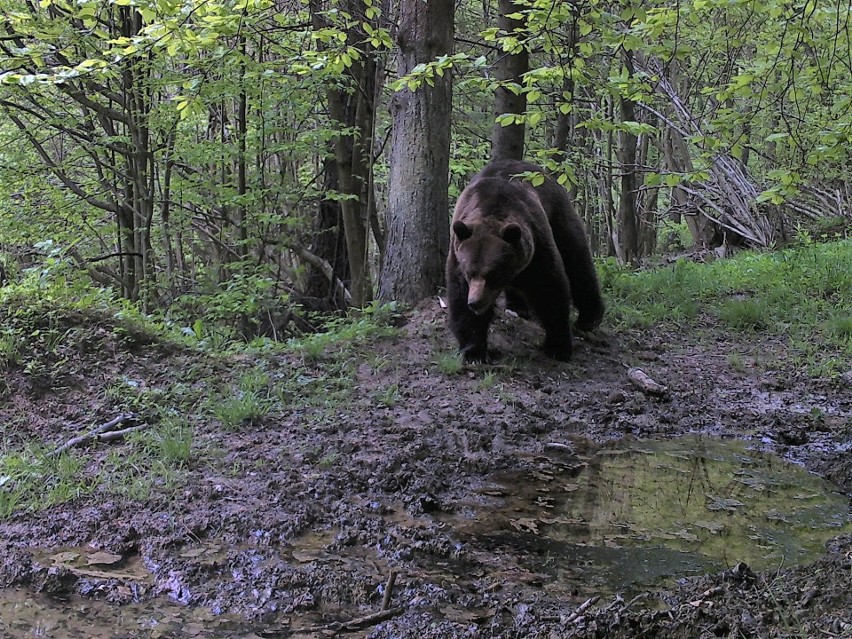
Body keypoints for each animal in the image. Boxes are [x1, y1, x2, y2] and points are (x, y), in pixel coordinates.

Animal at [446, 159, 604, 362]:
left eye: (493, 275)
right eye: (470, 273)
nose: (475, 302)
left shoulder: (537, 246)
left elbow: (549, 290)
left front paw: (558, 347)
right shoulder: (458, 253)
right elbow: (460, 298)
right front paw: (474, 351)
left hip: (559, 214)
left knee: (577, 259)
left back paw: (589, 318)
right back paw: (517, 306)